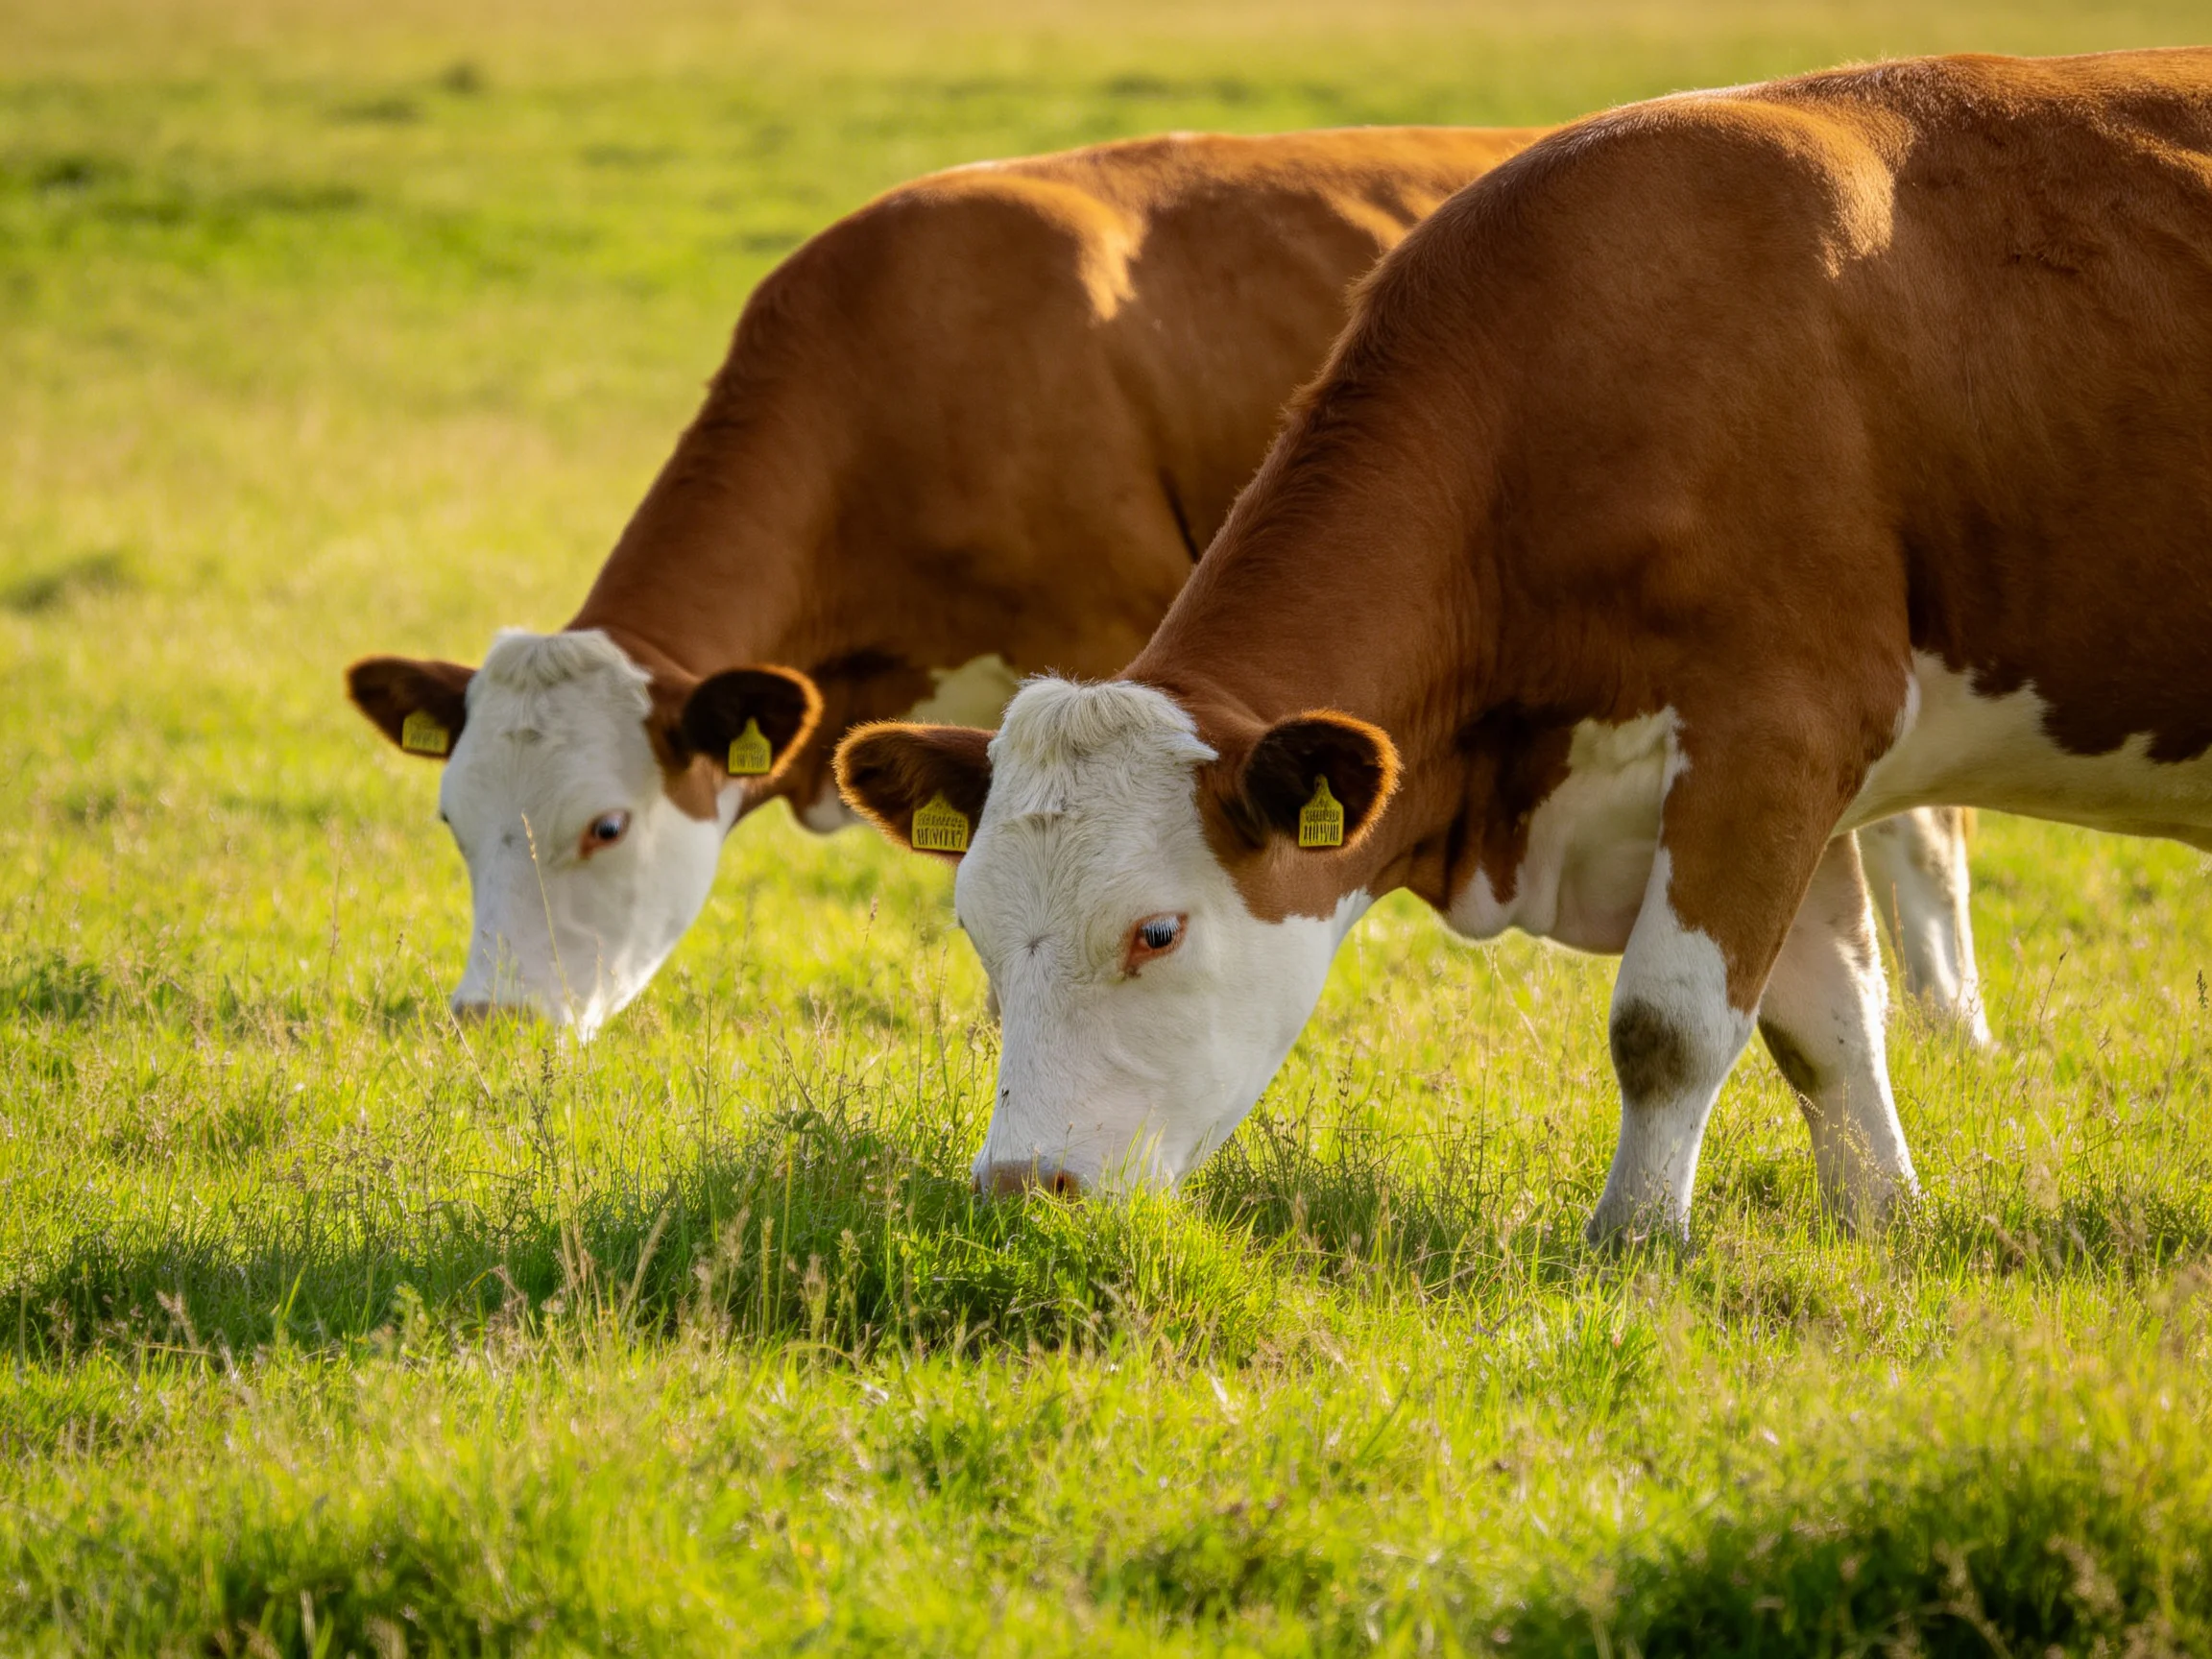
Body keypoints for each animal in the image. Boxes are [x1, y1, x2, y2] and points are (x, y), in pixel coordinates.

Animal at [347, 127, 1983, 1041]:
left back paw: (1953, 1024)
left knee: (1921, 824)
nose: (492, 1023)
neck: (913, 358)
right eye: (455, 826)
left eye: (605, 826)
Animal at [835, 49, 2212, 1239]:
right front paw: (1880, 1222)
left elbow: (1669, 1025)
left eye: (1157, 932)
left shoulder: (1779, 724)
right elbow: (1824, 1025)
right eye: (975, 931)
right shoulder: (1794, 774)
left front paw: (1634, 1244)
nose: (1024, 1183)